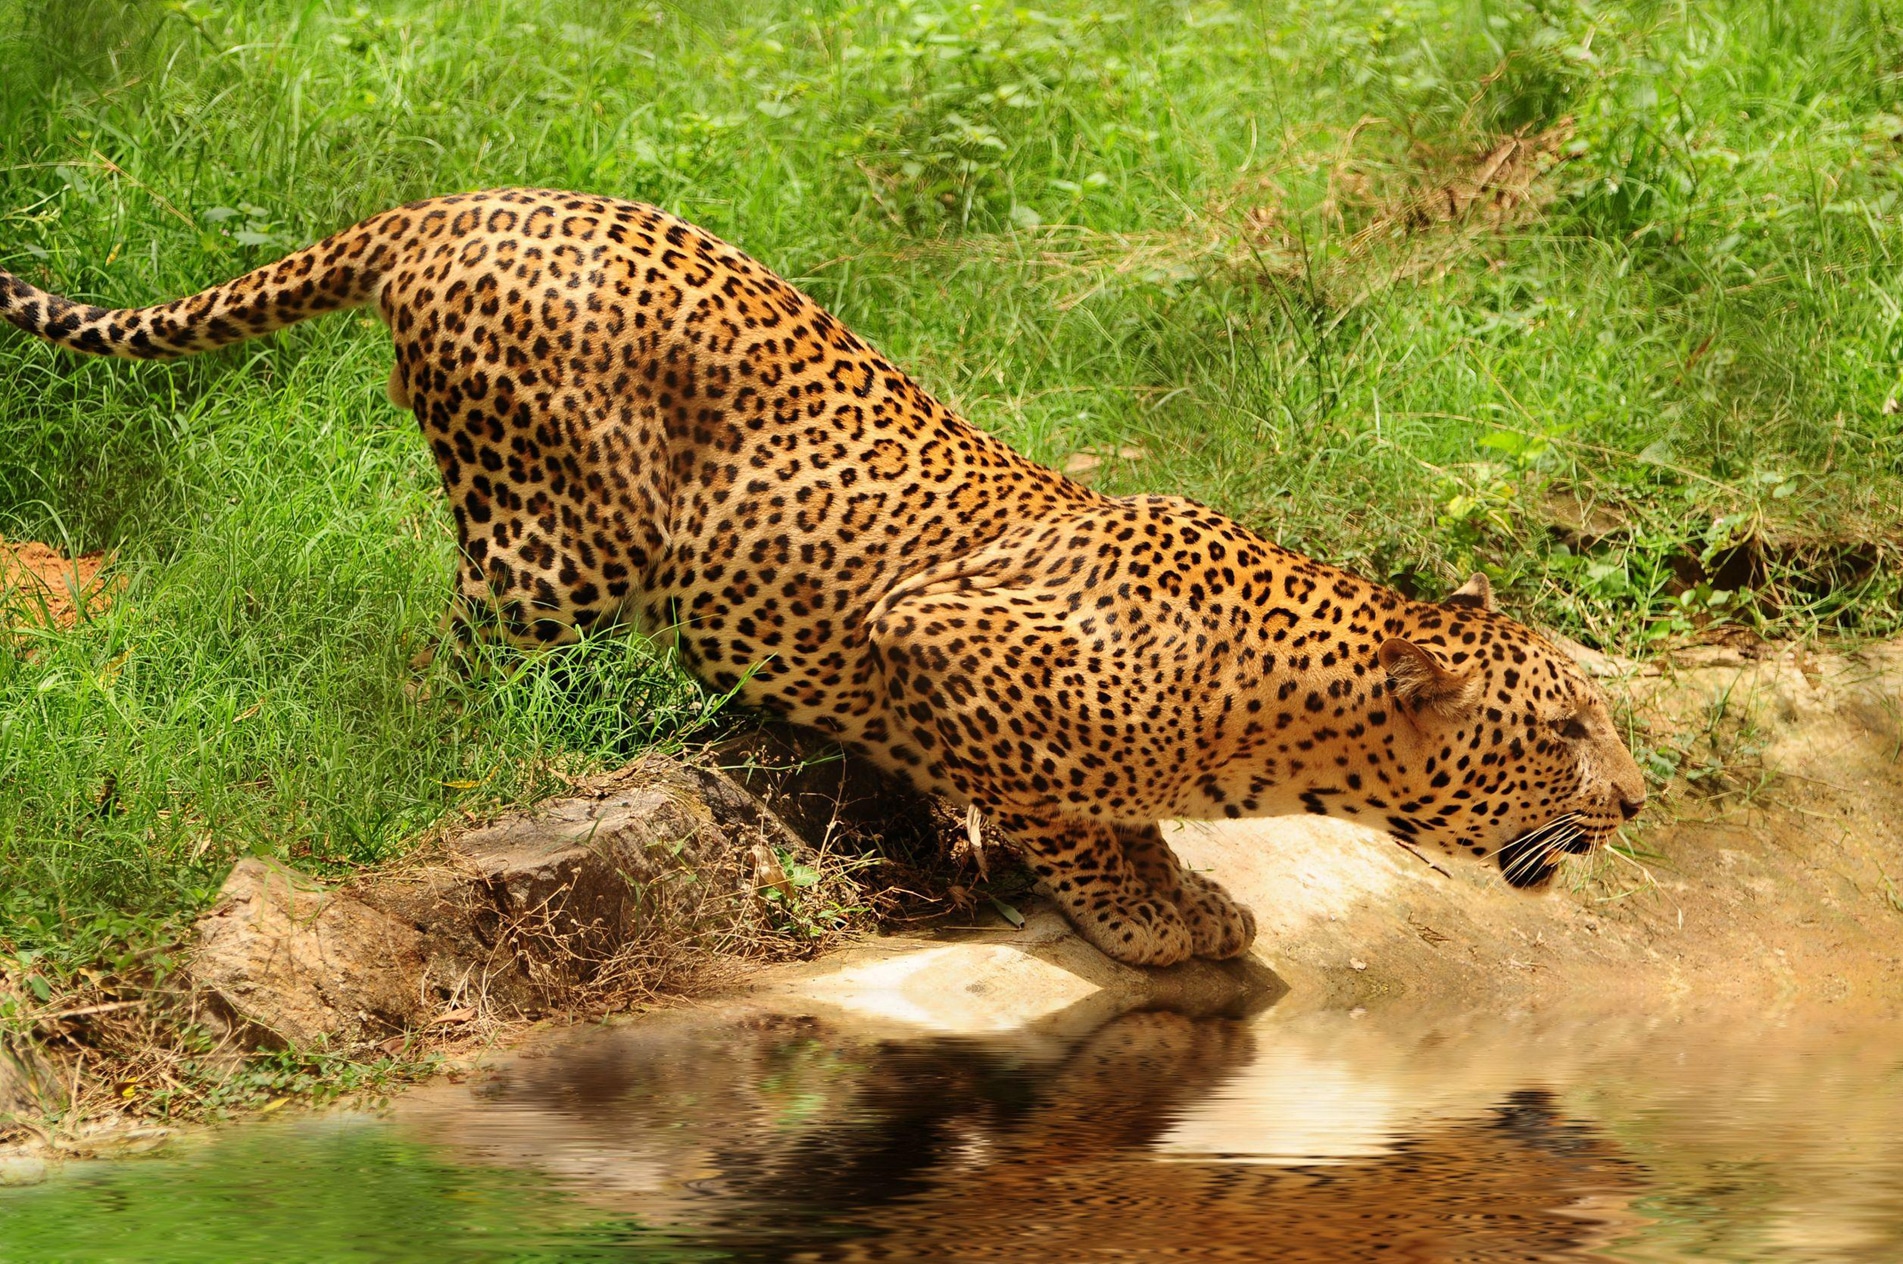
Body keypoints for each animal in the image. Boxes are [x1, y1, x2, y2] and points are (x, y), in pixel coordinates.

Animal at [0, 187, 1646, 968]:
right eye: (1562, 728)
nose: (1637, 801)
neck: (1273, 718)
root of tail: (451, 205)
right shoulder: (941, 634)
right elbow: (1068, 812)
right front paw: (1149, 909)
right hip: (551, 543)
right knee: (437, 668)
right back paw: (466, 741)